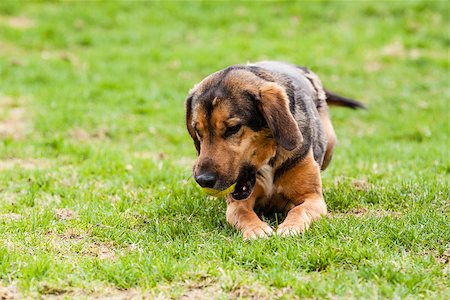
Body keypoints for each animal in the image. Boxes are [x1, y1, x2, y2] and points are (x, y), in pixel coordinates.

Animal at [185, 60, 364, 239]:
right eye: (197, 132)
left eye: (233, 128)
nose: (203, 180)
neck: (269, 158)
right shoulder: (237, 204)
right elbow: (244, 213)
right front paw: (256, 229)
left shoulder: (313, 198)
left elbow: (299, 210)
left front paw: (291, 226)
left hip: (330, 143)